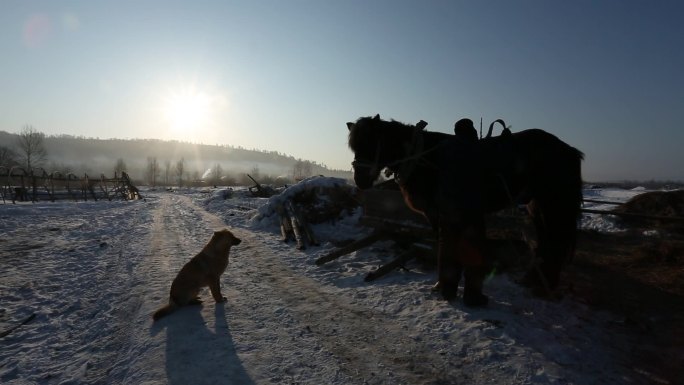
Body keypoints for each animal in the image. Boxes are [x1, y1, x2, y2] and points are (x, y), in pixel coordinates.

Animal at [348, 112, 584, 304]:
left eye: (372, 142)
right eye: (354, 146)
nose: (360, 180)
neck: (427, 157)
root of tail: (569, 150)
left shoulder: (444, 214)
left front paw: (447, 287)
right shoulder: (438, 215)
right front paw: (444, 286)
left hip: (553, 205)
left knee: (554, 242)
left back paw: (543, 287)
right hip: (537, 206)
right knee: (545, 242)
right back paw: (533, 280)